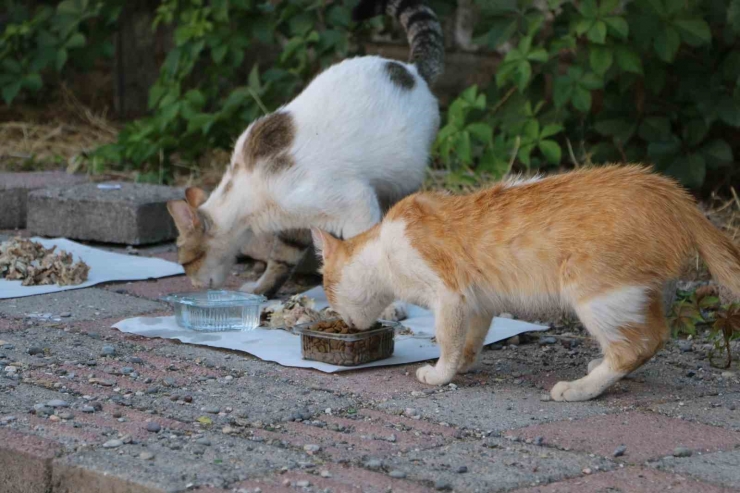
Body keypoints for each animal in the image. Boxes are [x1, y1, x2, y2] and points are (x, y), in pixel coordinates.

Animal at [310, 165, 740, 400]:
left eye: (327, 291)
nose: (344, 322)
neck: (384, 247)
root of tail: (668, 190)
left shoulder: (449, 294)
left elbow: (447, 339)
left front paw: (440, 373)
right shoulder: (477, 302)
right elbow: (469, 341)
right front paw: (464, 365)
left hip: (593, 292)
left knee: (635, 347)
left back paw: (580, 389)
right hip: (638, 294)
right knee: (654, 337)